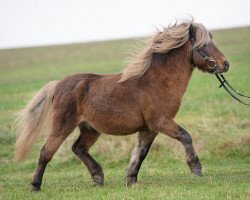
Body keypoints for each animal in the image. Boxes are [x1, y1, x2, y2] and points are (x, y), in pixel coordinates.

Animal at [14, 19, 229, 191]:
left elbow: (140, 153)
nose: (225, 64)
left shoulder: (150, 128)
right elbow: (186, 136)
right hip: (62, 126)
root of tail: (58, 85)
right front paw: (196, 167)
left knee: (79, 148)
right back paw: (35, 186)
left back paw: (98, 177)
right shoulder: (161, 122)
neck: (158, 82)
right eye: (204, 44)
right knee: (46, 152)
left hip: (90, 128)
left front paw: (131, 179)